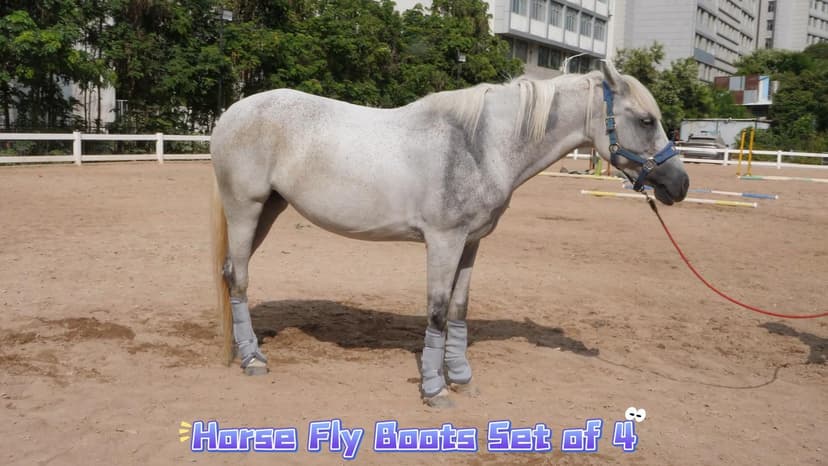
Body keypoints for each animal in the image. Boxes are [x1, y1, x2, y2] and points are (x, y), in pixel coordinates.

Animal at [210, 60, 689, 408]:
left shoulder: (471, 242)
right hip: (246, 209)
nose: (680, 185)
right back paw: (253, 359)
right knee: (239, 278)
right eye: (646, 120)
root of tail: (230, 113)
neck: (480, 145)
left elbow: (459, 309)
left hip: (269, 209)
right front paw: (434, 389)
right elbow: (437, 311)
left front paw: (461, 378)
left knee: (231, 272)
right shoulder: (443, 241)